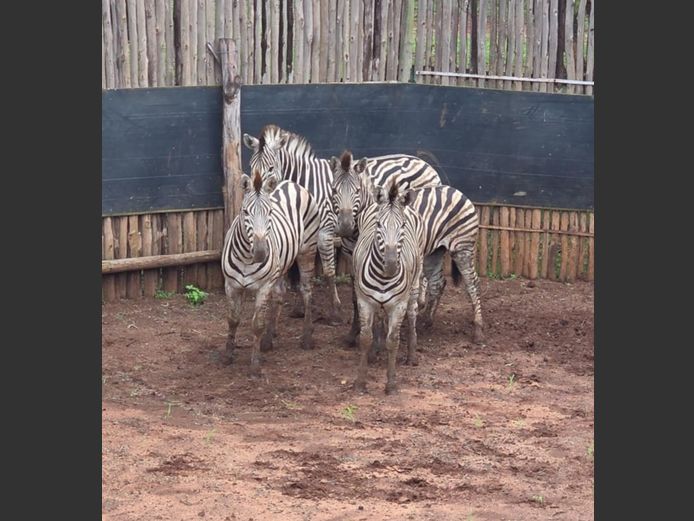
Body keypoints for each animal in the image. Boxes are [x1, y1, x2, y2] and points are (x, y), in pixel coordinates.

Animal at [221, 169, 320, 375]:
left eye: (270, 212)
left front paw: (255, 365)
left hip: (307, 250)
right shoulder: (231, 285)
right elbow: (233, 320)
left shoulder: (263, 287)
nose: (261, 253)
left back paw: (306, 338)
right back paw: (269, 338)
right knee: (280, 293)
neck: (246, 257)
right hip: (281, 264)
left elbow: (257, 324)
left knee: (307, 291)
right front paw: (228, 356)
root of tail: (291, 182)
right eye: (245, 212)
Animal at [242, 124, 441, 323]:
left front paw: (335, 311)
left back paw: (421, 303)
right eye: (251, 166)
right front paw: (300, 308)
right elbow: (299, 272)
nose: (257, 190)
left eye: (270, 167)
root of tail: (427, 165)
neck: (307, 184)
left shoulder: (324, 231)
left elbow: (328, 272)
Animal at [331, 153, 485, 345]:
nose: (345, 226)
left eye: (357, 191)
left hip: (462, 247)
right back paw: (425, 321)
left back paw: (478, 330)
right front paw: (353, 333)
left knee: (473, 283)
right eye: (334, 190)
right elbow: (355, 298)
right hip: (435, 251)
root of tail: (457, 191)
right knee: (438, 282)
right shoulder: (352, 259)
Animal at [352, 176, 425, 394]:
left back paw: (411, 354)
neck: (384, 277)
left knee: (413, 313)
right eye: (378, 224)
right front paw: (360, 382)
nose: (391, 265)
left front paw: (391, 384)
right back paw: (375, 352)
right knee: (378, 319)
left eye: (403, 225)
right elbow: (365, 338)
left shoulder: (398, 305)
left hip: (415, 284)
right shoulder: (364, 301)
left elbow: (393, 341)